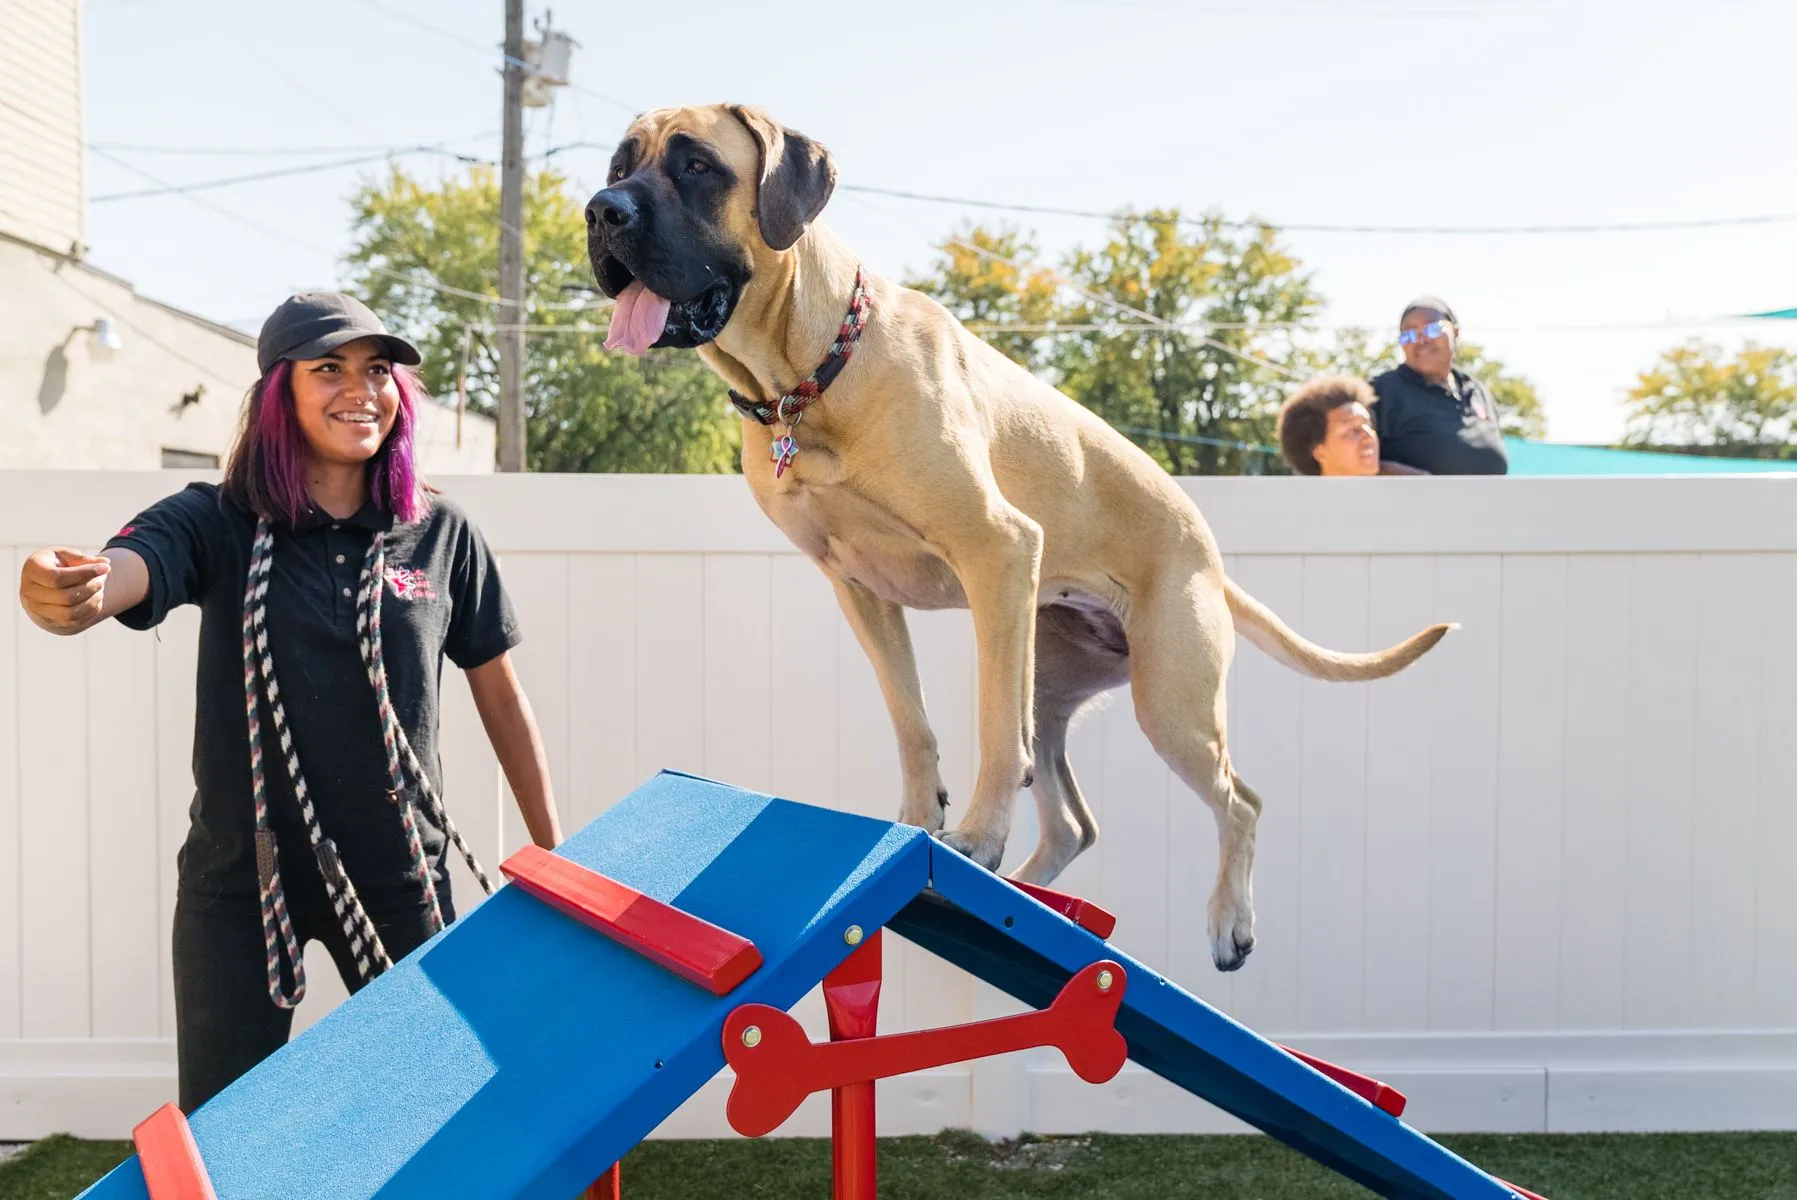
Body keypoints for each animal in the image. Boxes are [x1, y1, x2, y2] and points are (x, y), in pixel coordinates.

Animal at [582, 105, 1451, 977]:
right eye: (620, 163)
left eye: (697, 166)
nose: (600, 212)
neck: (810, 372)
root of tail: (1206, 553)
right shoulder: (857, 588)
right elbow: (911, 722)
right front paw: (917, 824)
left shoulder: (995, 551)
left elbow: (993, 733)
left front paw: (973, 839)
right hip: (1049, 671)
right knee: (1073, 823)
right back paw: (1030, 897)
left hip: (1169, 700)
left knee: (1239, 800)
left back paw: (1226, 924)